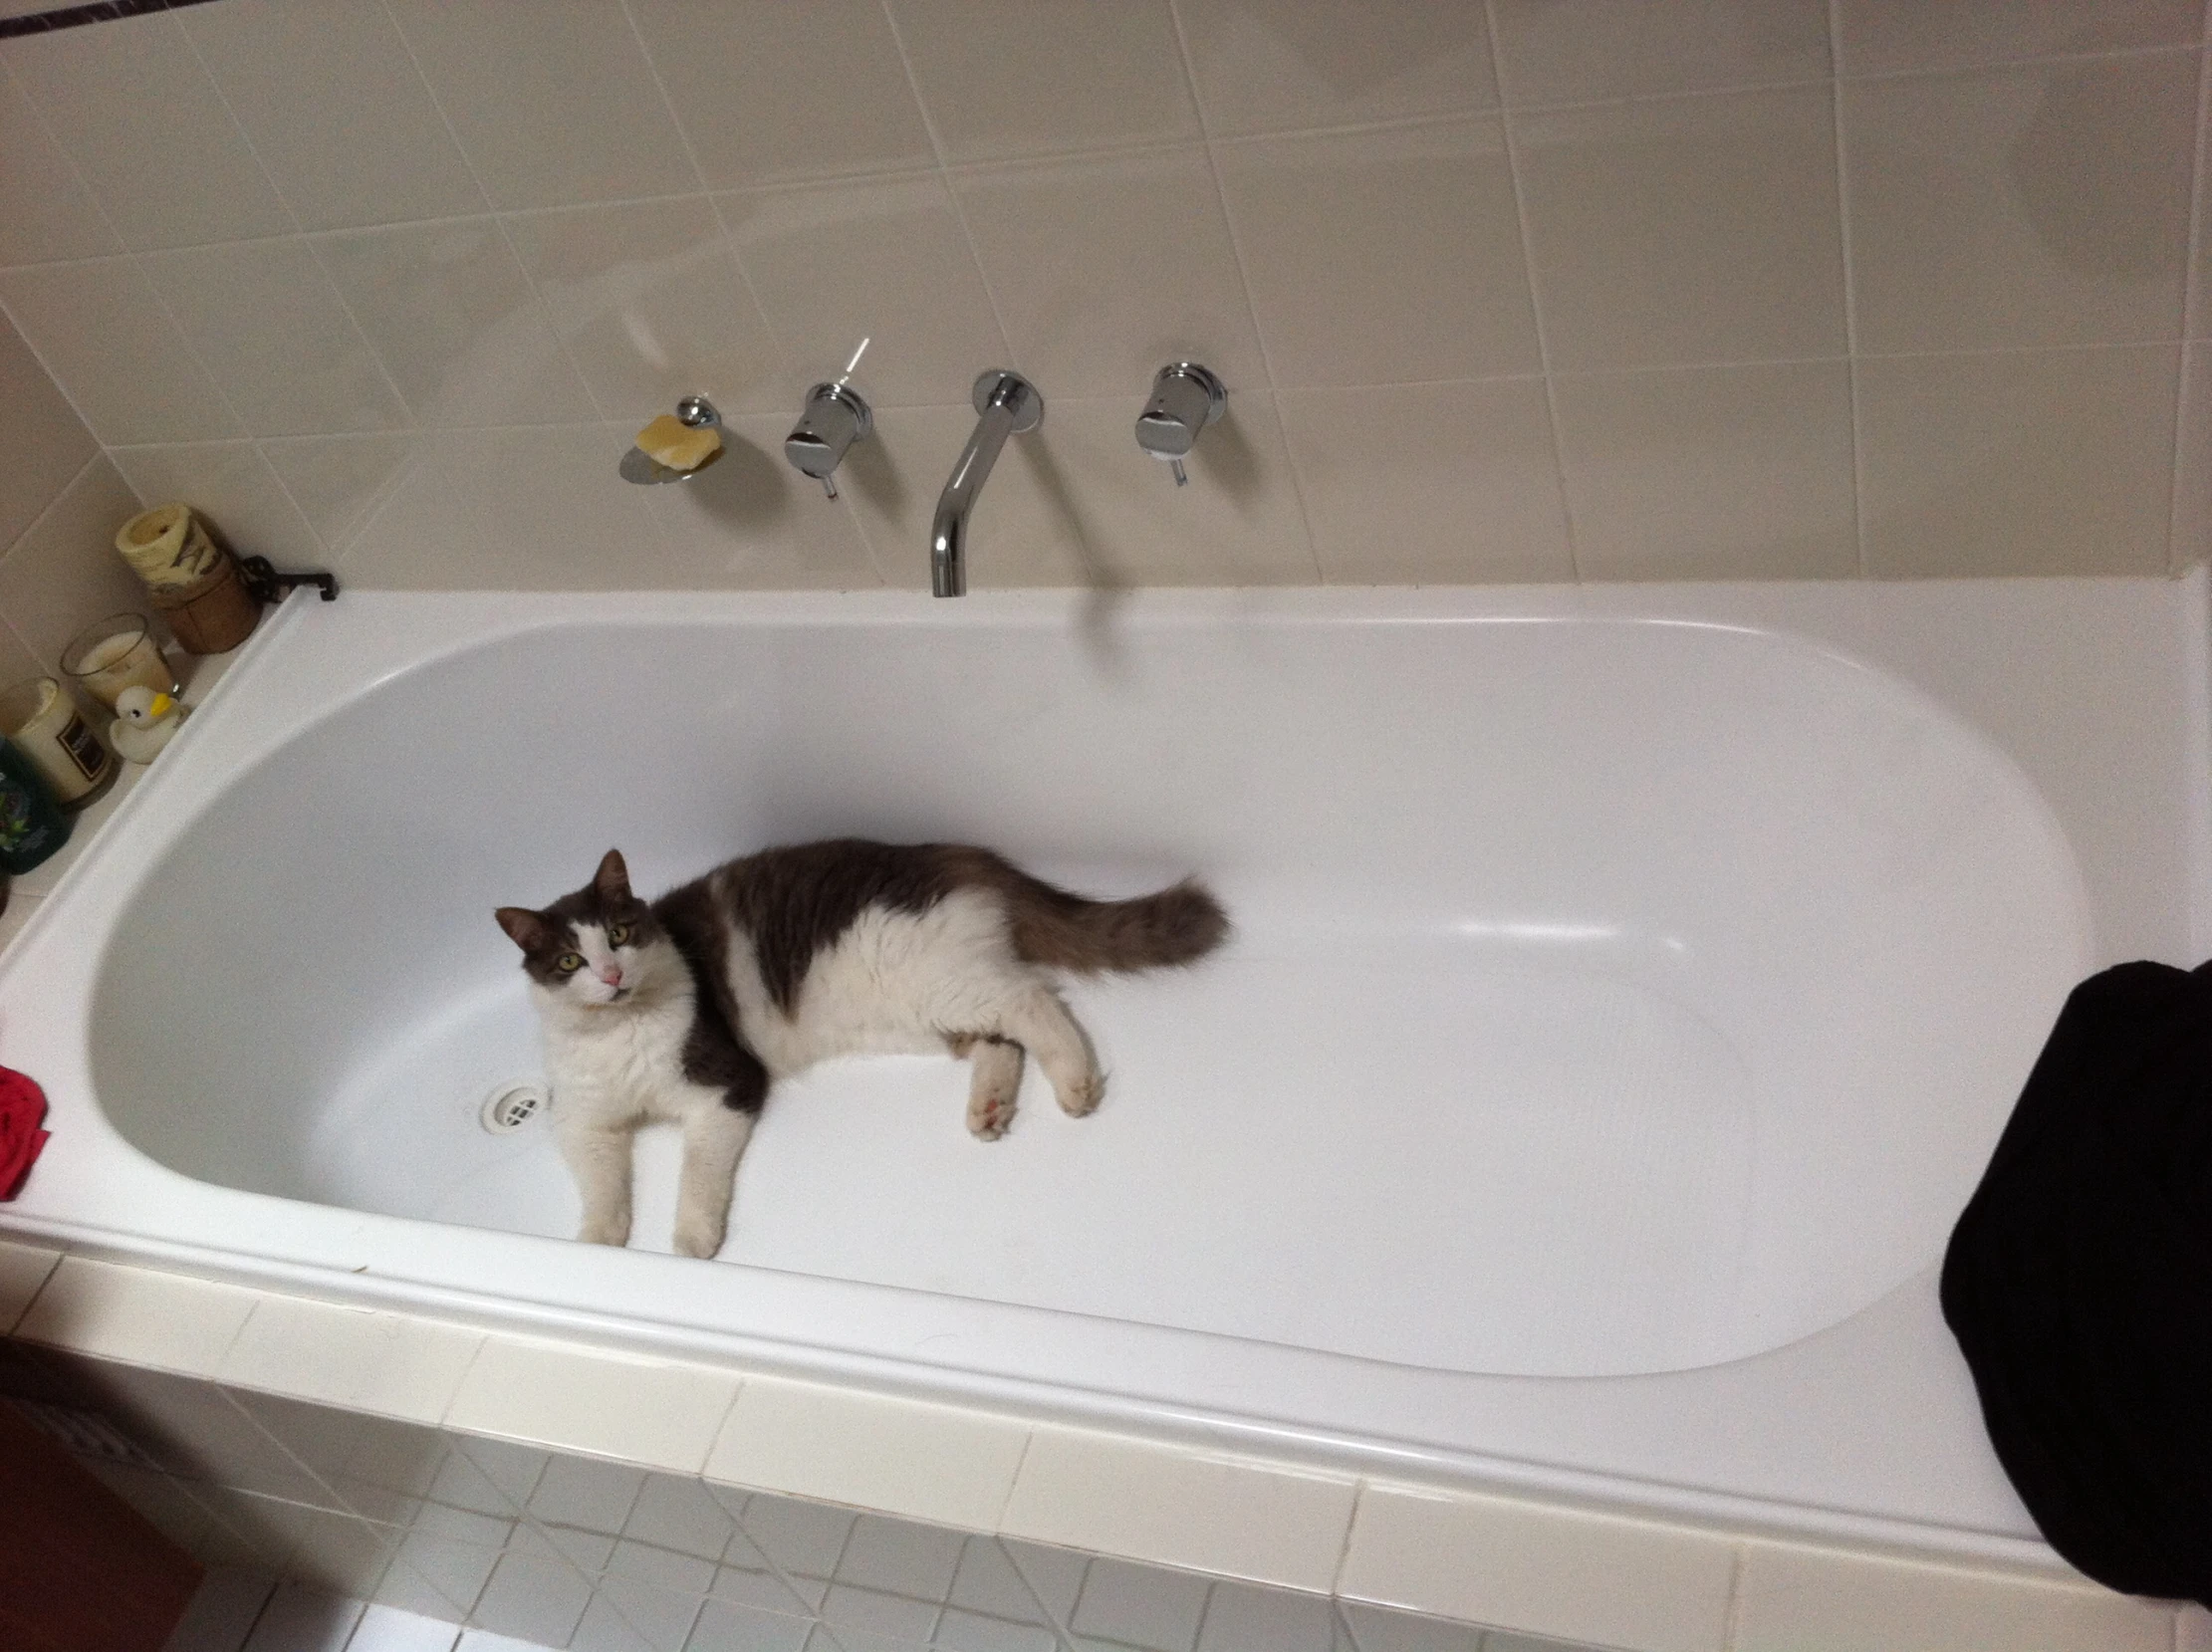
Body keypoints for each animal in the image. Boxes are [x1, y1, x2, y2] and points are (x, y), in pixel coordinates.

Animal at [493, 839, 1229, 1256]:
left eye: (619, 934)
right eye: (568, 960)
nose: (610, 976)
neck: (620, 1029)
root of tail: (953, 852)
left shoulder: (726, 1088)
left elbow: (698, 1177)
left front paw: (691, 1242)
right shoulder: (582, 1121)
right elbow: (601, 1187)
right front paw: (596, 1248)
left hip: (939, 981)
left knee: (1034, 999)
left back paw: (1076, 1083)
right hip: (923, 1010)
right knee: (1003, 1039)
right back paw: (989, 1108)